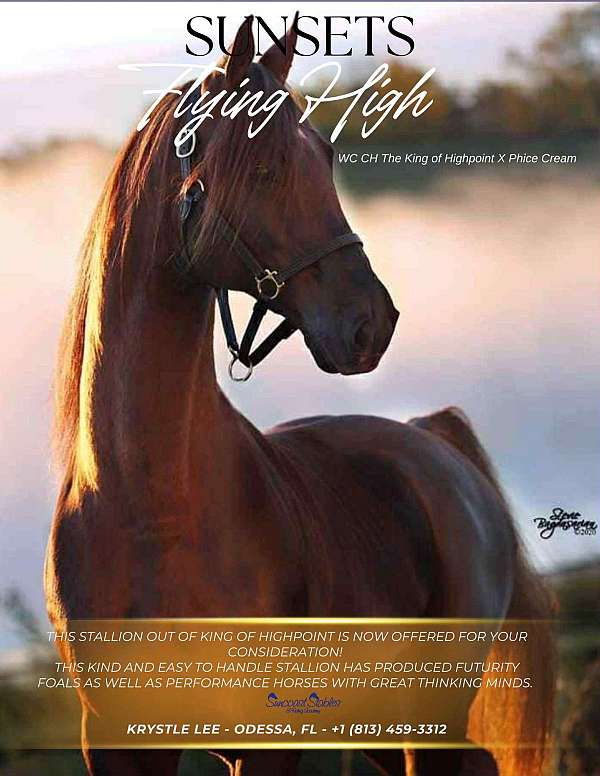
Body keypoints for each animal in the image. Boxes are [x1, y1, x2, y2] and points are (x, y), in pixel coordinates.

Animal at [45, 17, 555, 776]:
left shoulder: (267, 739)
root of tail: (432, 441)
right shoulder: (116, 742)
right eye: (264, 168)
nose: (371, 322)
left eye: (326, 155)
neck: (149, 507)